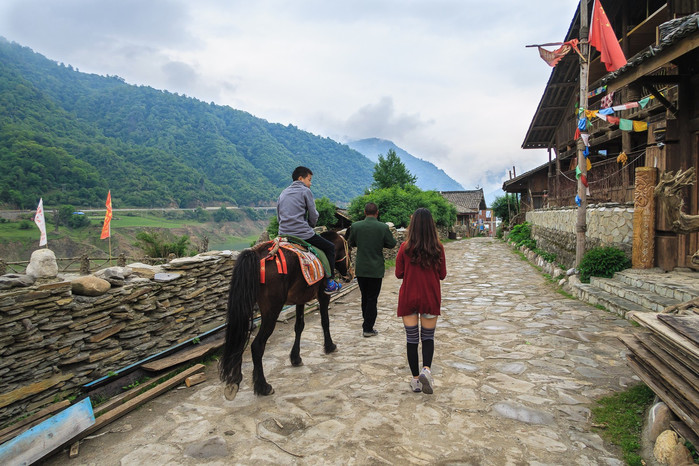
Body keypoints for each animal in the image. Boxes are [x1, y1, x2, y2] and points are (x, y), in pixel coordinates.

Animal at [220, 231, 352, 398]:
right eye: (350, 251)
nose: (350, 275)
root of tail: (257, 254)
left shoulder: (300, 299)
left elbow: (299, 326)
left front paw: (295, 358)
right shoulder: (323, 296)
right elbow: (325, 321)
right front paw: (330, 346)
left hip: (246, 306)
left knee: (239, 338)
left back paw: (234, 381)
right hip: (272, 310)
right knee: (257, 345)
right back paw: (263, 386)